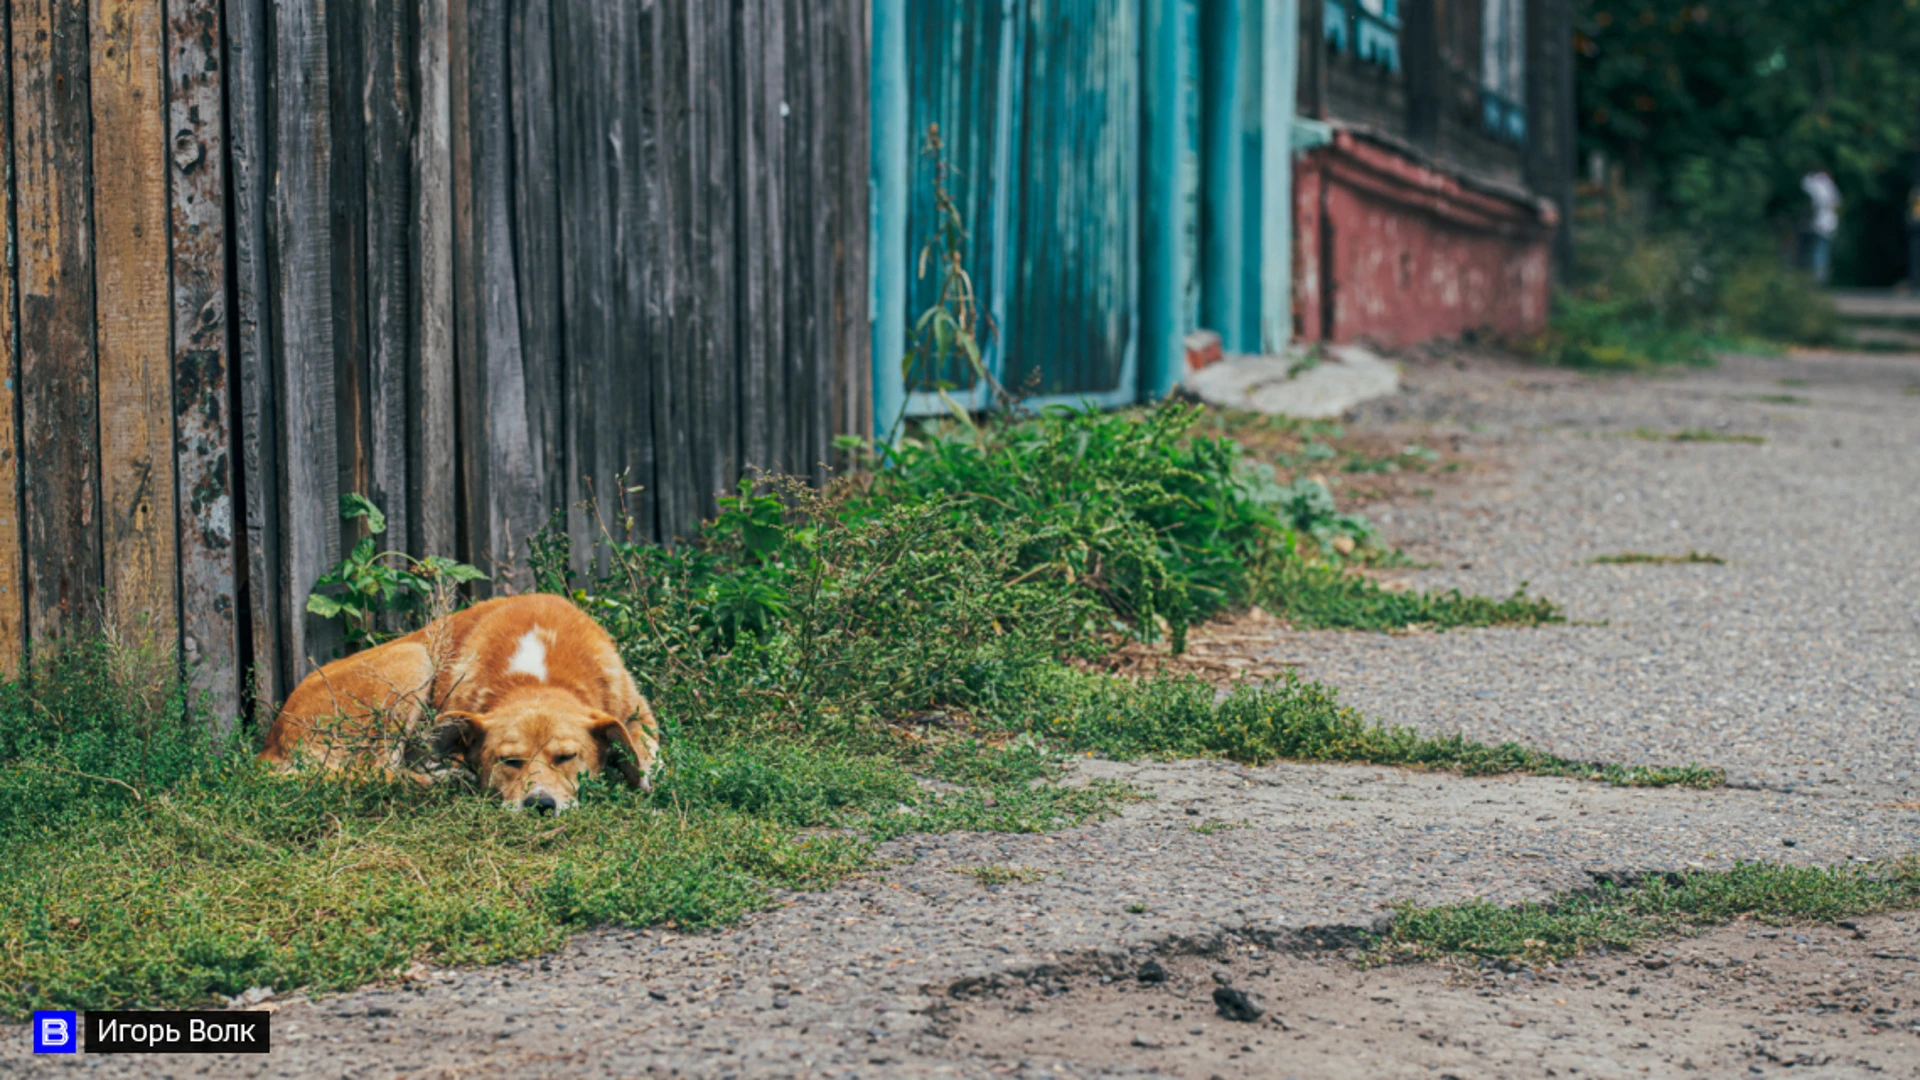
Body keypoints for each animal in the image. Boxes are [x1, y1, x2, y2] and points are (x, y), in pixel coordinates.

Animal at [261, 588, 660, 807]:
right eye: (508, 761)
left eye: (566, 757)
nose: (539, 804)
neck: (537, 677)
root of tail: (270, 744)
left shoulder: (638, 715)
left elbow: (648, 759)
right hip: (414, 658)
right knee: (375, 772)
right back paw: (442, 779)